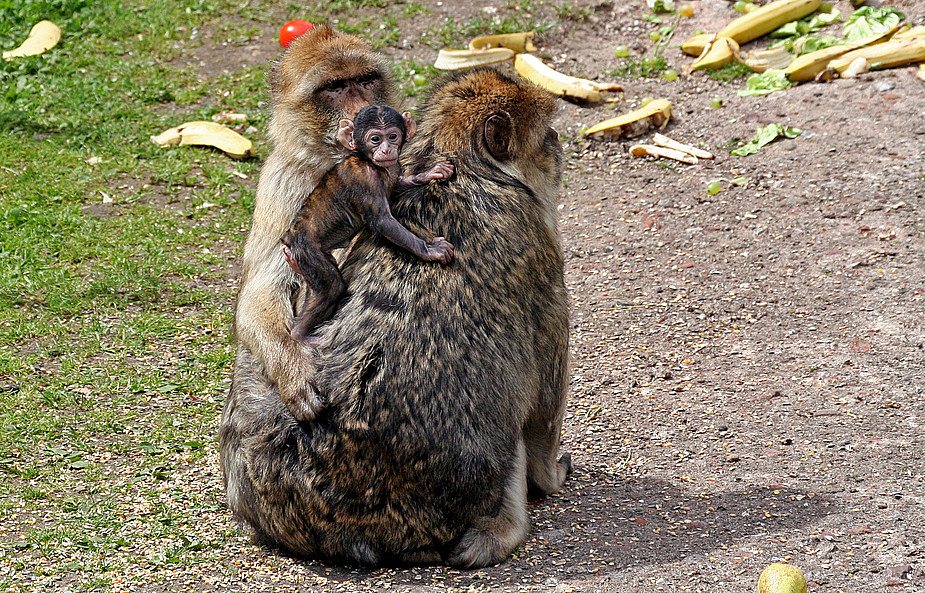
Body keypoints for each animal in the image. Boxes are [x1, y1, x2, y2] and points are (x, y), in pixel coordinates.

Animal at [282, 104, 454, 340]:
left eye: (392, 136)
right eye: (375, 139)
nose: (386, 149)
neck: (368, 161)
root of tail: (288, 240)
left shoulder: (394, 169)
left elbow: (397, 187)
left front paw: (430, 173)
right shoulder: (365, 179)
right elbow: (382, 222)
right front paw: (431, 250)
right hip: (307, 252)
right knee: (332, 287)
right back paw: (302, 337)